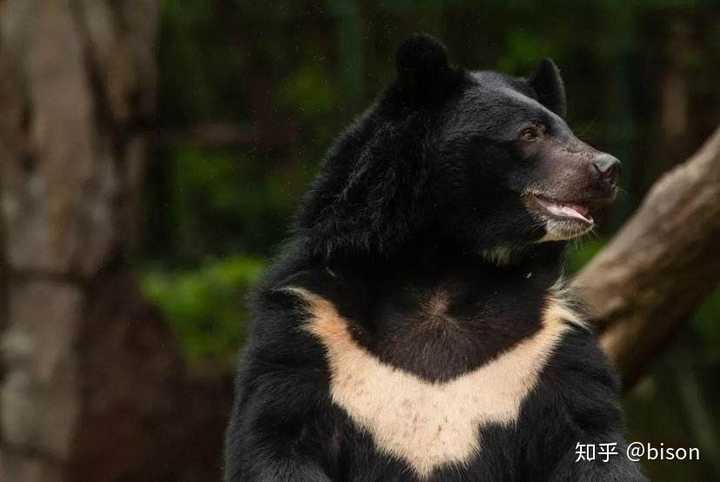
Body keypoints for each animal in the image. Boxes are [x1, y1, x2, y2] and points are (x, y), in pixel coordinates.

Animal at [224, 34, 647, 482]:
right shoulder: (311, 328)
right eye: (530, 132)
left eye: (568, 130)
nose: (607, 169)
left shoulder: (550, 345)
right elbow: (278, 434)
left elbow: (589, 438)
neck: (445, 267)